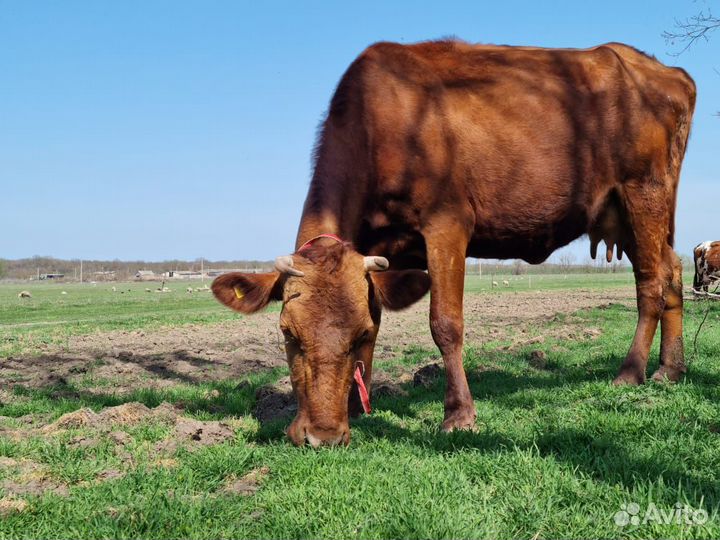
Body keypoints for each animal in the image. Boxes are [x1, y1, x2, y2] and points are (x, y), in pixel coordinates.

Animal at [212, 40, 696, 446]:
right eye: (287, 333)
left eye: (356, 333)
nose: (322, 435)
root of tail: (658, 67)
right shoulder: (379, 256)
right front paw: (357, 407)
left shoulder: (447, 224)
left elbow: (445, 324)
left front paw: (459, 415)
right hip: (622, 213)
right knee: (671, 270)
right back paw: (670, 369)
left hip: (643, 195)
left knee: (650, 284)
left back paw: (631, 372)